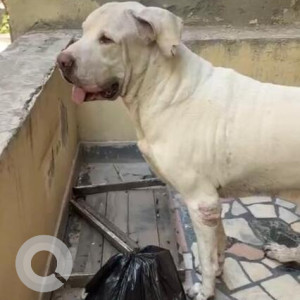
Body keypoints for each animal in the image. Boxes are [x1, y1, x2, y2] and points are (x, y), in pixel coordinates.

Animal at [57, 1, 298, 298]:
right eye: (83, 31)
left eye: (106, 40)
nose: (61, 61)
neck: (161, 87)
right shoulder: (213, 203)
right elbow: (219, 244)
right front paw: (219, 271)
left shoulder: (201, 202)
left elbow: (205, 258)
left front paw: (205, 291)